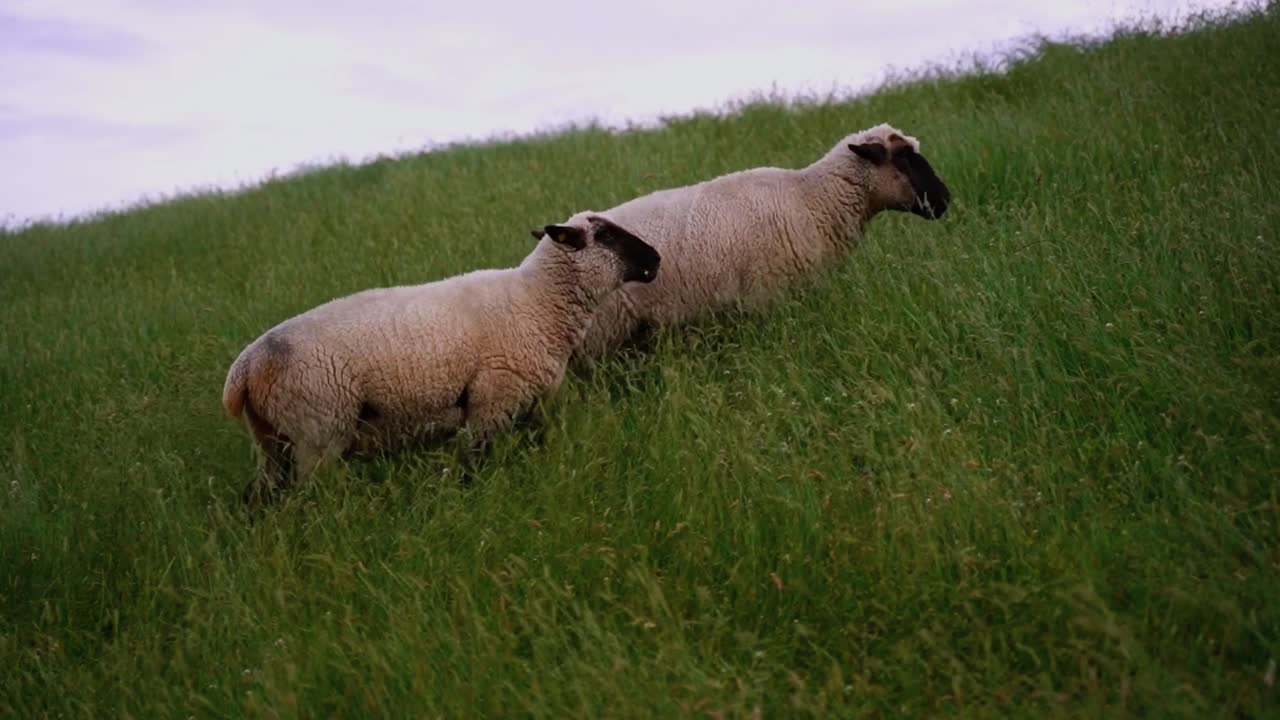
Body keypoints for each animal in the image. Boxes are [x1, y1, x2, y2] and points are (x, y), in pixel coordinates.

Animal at [222, 214, 660, 506]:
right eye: (605, 235)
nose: (655, 259)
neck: (536, 302)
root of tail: (245, 368)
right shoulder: (492, 399)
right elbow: (472, 463)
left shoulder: (531, 403)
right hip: (319, 431)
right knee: (305, 497)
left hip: (273, 440)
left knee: (260, 497)